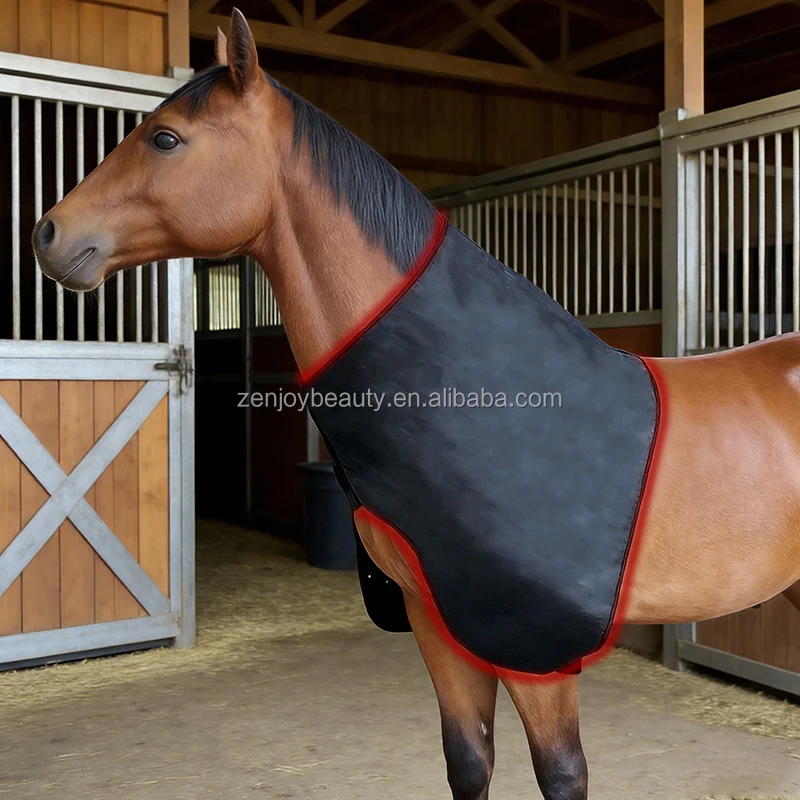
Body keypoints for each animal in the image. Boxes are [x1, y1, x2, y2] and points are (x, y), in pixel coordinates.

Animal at [32, 9, 800, 800]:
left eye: (164, 138)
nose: (48, 234)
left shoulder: (534, 649)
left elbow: (561, 775)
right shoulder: (439, 626)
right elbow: (468, 762)